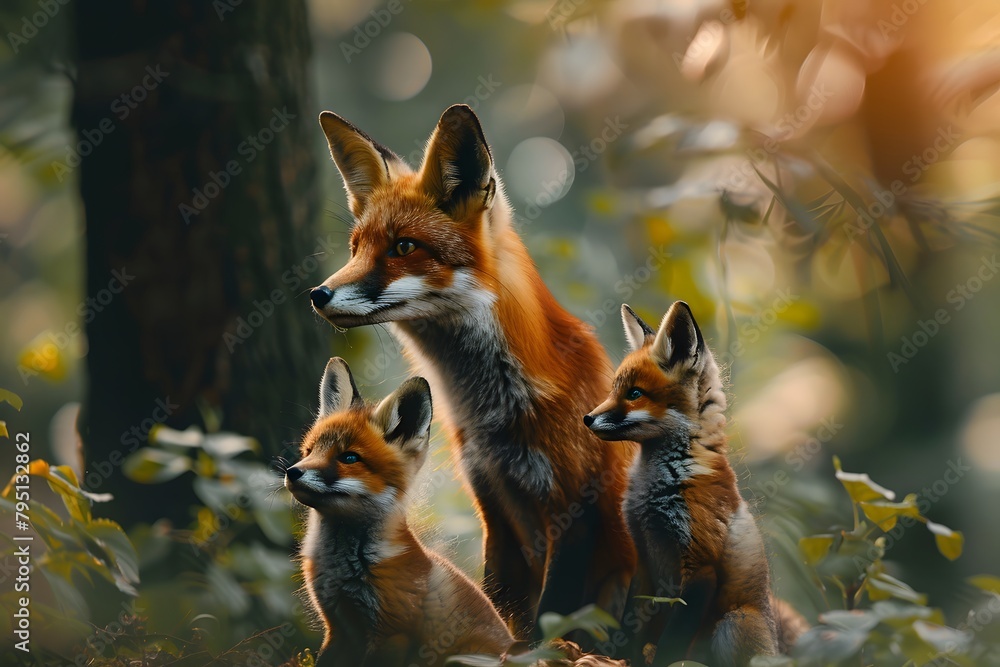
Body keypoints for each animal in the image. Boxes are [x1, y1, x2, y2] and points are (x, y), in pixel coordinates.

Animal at [284, 357, 514, 667]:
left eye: (349, 458)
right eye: (309, 451)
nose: (292, 472)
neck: (344, 571)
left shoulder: (392, 635)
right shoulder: (337, 629)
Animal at [308, 104, 637, 638]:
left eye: (403, 247)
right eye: (356, 247)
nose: (318, 294)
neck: (497, 413)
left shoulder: (575, 513)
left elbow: (551, 619)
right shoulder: (494, 507)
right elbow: (503, 608)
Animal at [584, 302, 807, 667]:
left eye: (634, 394)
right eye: (613, 390)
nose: (586, 418)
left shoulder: (701, 566)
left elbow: (671, 646)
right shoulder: (644, 559)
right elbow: (629, 630)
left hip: (734, 623)